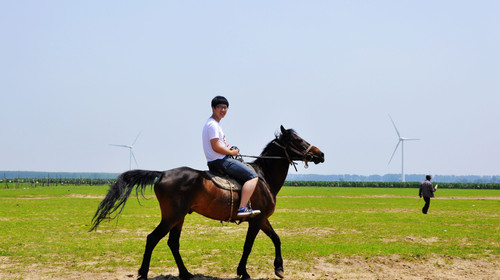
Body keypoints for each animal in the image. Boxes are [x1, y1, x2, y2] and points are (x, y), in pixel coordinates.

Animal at [90, 126, 324, 280]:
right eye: (297, 141)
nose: (320, 154)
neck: (263, 176)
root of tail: (163, 173)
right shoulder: (256, 221)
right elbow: (249, 246)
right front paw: (244, 272)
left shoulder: (262, 219)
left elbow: (276, 239)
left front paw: (279, 269)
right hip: (172, 217)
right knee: (152, 238)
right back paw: (144, 273)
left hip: (179, 218)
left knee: (172, 243)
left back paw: (185, 273)